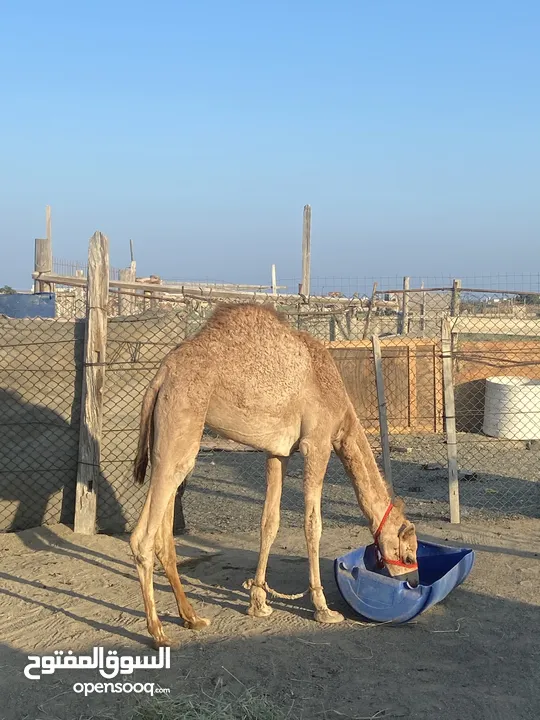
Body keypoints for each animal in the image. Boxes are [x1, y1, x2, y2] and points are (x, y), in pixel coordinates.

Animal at [130, 300, 418, 648]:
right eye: (408, 556)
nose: (414, 582)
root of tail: (161, 374)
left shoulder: (279, 453)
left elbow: (270, 522)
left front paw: (258, 602)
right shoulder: (316, 443)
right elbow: (312, 524)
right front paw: (322, 608)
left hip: (170, 434)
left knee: (165, 532)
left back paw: (192, 617)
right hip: (182, 421)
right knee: (144, 535)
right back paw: (158, 631)